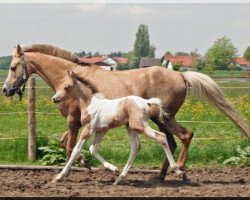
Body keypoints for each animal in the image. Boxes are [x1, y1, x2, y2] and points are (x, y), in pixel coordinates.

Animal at [51, 71, 185, 184]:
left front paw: (58, 176)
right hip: (131, 127)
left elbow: (76, 150)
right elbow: (93, 149)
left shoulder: (88, 130)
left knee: (161, 137)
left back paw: (178, 171)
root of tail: (146, 102)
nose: (54, 98)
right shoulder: (101, 130)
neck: (90, 104)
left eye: (66, 87)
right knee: (136, 147)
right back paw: (120, 177)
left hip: (140, 125)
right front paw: (113, 168)